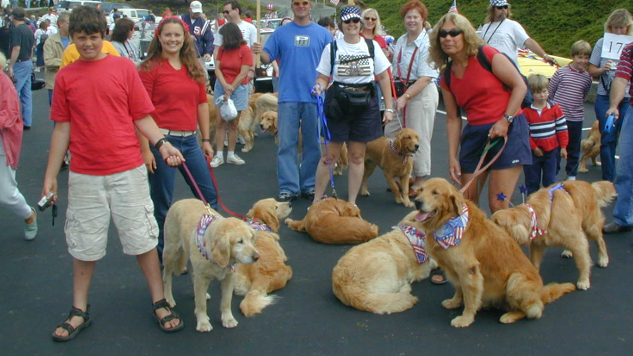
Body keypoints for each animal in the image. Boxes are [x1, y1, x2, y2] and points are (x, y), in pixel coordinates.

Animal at [163, 199, 262, 332]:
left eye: (251, 239)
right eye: (239, 242)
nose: (257, 257)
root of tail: (181, 200)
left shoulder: (229, 278)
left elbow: (226, 301)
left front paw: (228, 319)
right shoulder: (201, 278)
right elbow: (201, 305)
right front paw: (203, 322)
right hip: (171, 252)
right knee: (166, 276)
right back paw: (168, 297)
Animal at [412, 178, 576, 328]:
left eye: (435, 193)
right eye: (420, 190)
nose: (417, 202)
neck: (448, 221)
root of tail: (541, 293)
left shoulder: (468, 270)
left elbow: (469, 297)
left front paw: (466, 318)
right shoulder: (454, 270)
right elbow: (459, 288)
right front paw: (454, 302)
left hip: (516, 279)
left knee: (533, 311)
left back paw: (509, 315)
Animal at [488, 181, 616, 290]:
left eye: (495, 223)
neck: (538, 215)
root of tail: (590, 185)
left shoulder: (578, 240)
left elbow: (583, 262)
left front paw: (583, 281)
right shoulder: (537, 244)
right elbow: (534, 262)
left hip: (590, 226)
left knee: (600, 240)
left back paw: (603, 258)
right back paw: (568, 251)